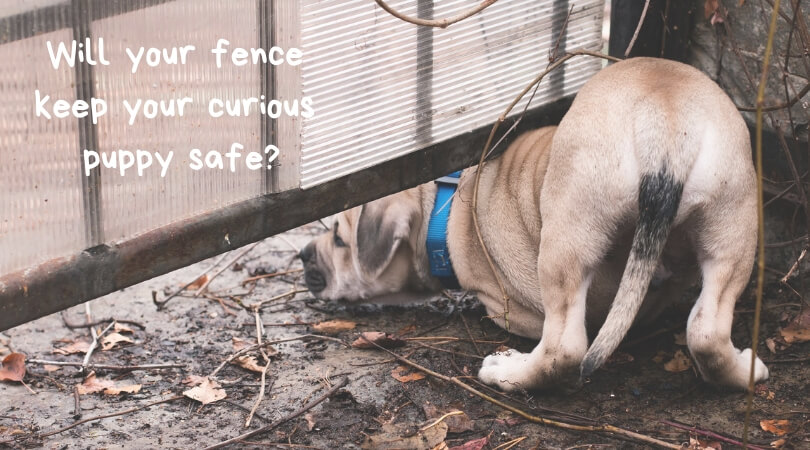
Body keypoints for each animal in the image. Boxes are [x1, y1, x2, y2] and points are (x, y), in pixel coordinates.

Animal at [300, 57, 768, 390]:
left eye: (339, 240)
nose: (303, 253)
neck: (443, 208)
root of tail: (665, 116)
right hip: (734, 222)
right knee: (707, 330)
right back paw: (745, 369)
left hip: (567, 237)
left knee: (565, 346)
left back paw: (508, 374)